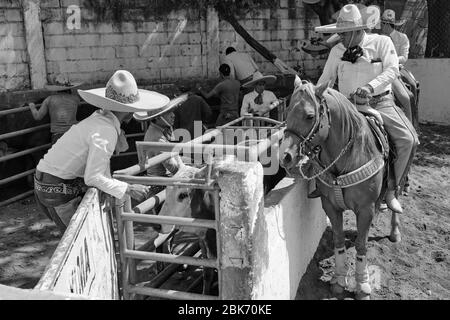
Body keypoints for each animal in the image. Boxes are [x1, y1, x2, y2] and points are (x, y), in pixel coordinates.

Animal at [278, 82, 400, 300]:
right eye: (287, 111)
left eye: (309, 116)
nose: (285, 156)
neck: (349, 157)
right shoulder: (330, 206)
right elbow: (338, 240)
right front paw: (339, 280)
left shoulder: (366, 210)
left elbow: (361, 245)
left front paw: (362, 286)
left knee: (397, 193)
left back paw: (395, 230)